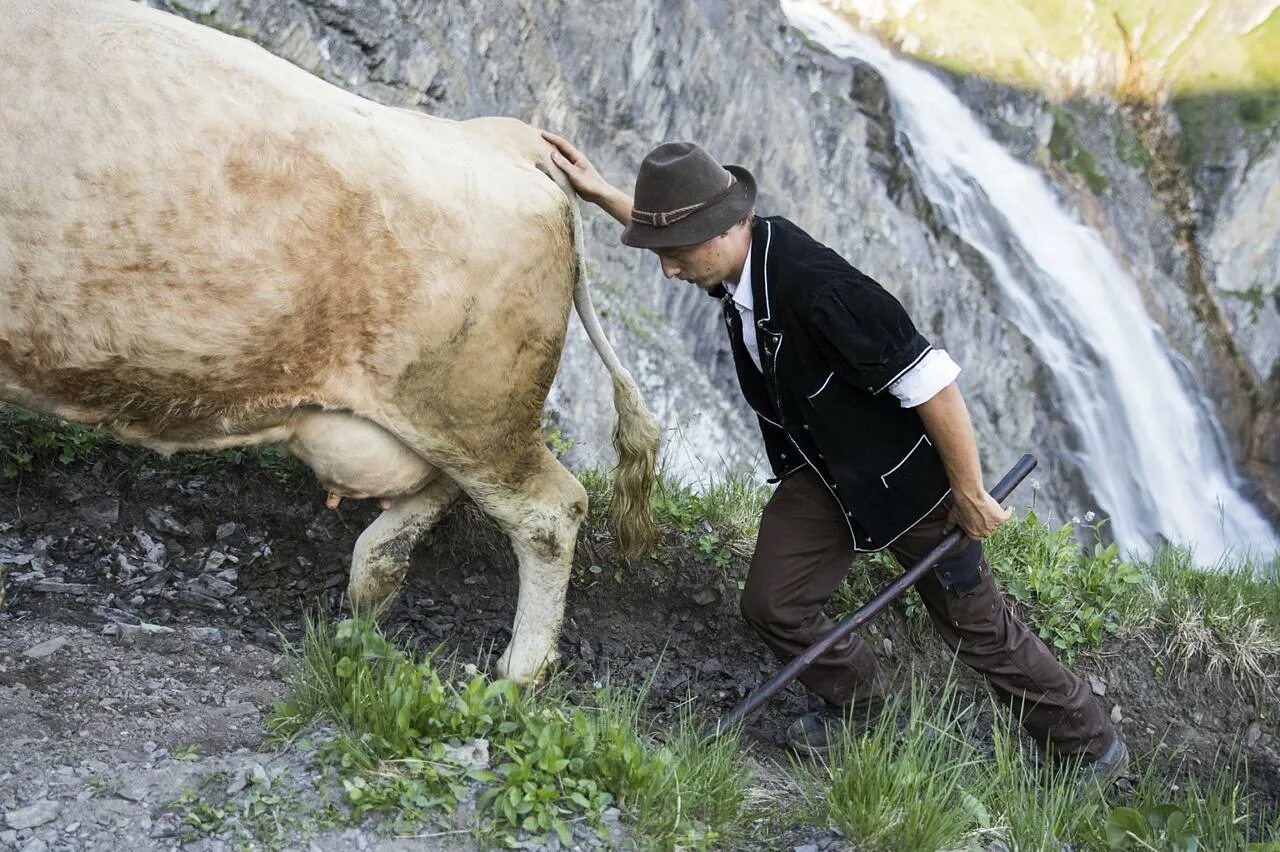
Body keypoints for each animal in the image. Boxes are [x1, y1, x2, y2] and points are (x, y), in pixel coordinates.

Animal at [0, 0, 660, 680]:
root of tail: (503, 137)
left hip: (478, 402)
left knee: (550, 511)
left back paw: (517, 674)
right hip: (443, 408)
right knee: (426, 509)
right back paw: (364, 606)